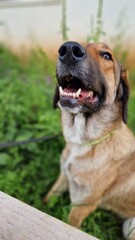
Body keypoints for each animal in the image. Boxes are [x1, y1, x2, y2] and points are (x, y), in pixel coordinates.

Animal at [44, 41, 135, 240]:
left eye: (106, 56)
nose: (69, 49)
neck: (83, 142)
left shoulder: (82, 205)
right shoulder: (63, 177)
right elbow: (46, 201)